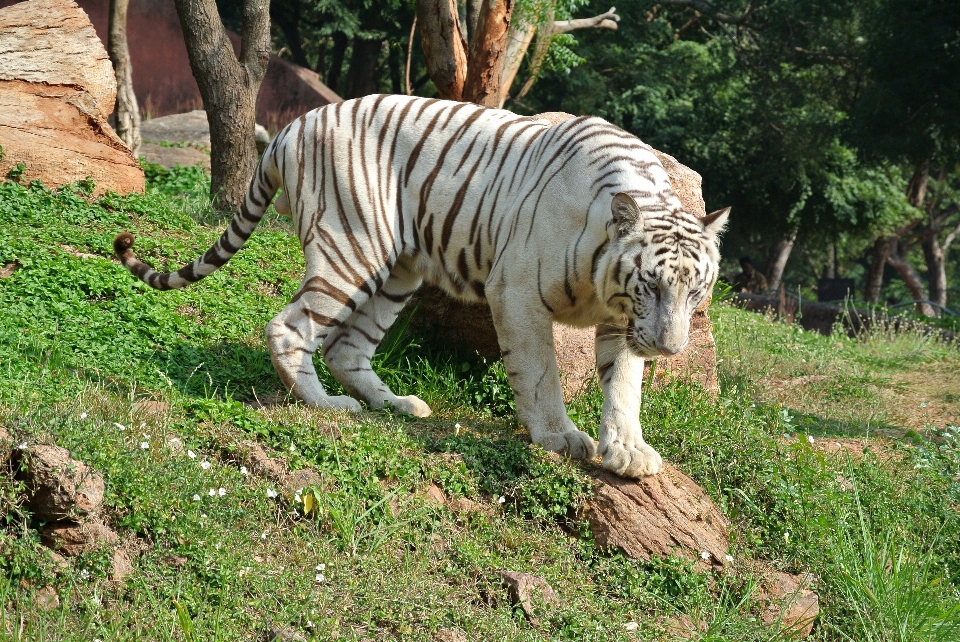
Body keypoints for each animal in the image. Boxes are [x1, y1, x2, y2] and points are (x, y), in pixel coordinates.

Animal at [114, 94, 728, 476]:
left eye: (696, 292)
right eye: (652, 286)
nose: (671, 348)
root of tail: (291, 125)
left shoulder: (621, 321)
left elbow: (624, 386)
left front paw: (628, 451)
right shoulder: (518, 294)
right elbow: (541, 374)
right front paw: (558, 436)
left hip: (399, 271)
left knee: (347, 346)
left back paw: (397, 405)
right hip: (353, 246)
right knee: (291, 328)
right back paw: (326, 404)